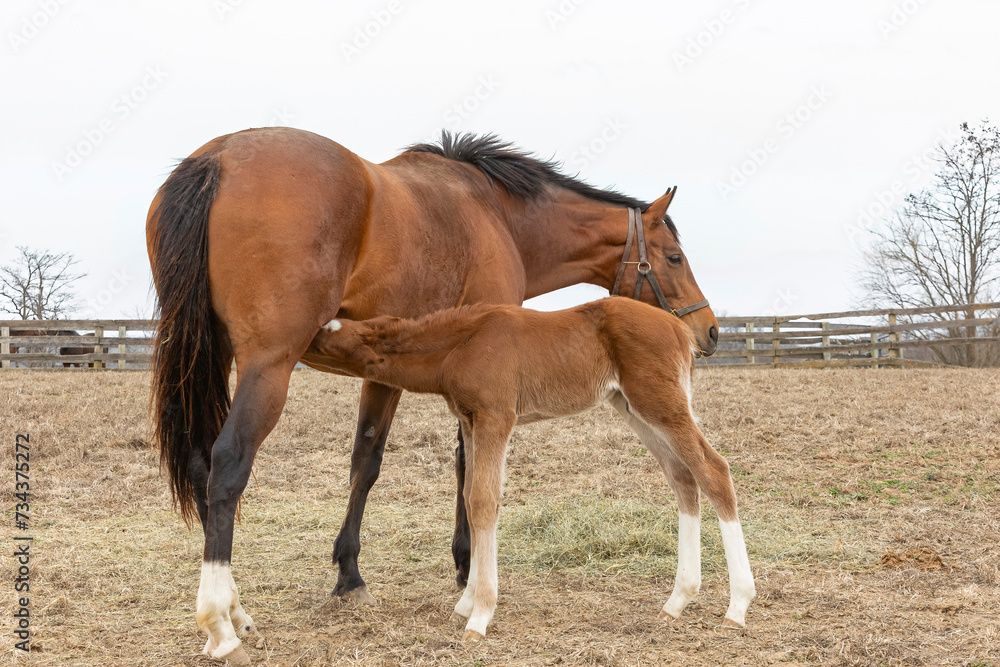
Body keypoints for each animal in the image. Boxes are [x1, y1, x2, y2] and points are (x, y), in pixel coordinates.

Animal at [305, 297, 755, 641]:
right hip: (634, 408)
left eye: (328, 334)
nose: (302, 338)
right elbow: (471, 497)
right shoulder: (471, 420)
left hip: (659, 403)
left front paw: (480, 616)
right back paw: (677, 600)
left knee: (713, 471)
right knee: (683, 478)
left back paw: (737, 607)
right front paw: (466, 602)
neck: (463, 342)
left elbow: (483, 501)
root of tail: (681, 330)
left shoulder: (495, 417)